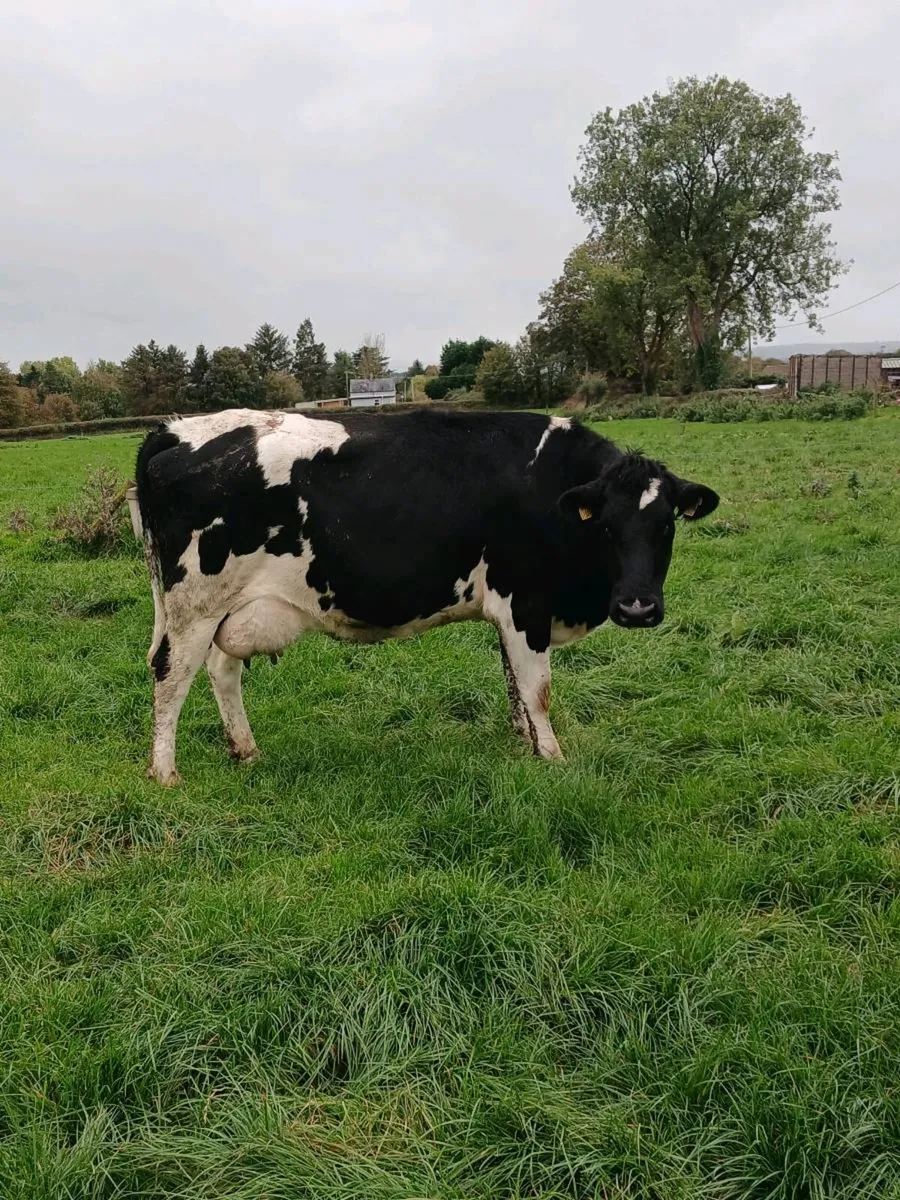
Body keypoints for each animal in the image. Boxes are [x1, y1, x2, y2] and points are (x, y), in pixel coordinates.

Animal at [135, 407, 719, 785]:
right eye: (606, 527)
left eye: (666, 525)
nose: (638, 607)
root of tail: (176, 429)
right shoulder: (525, 602)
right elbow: (538, 690)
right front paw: (553, 760)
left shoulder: (509, 611)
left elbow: (514, 685)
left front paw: (524, 745)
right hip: (194, 605)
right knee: (170, 673)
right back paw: (165, 774)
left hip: (232, 608)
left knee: (221, 670)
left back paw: (245, 751)